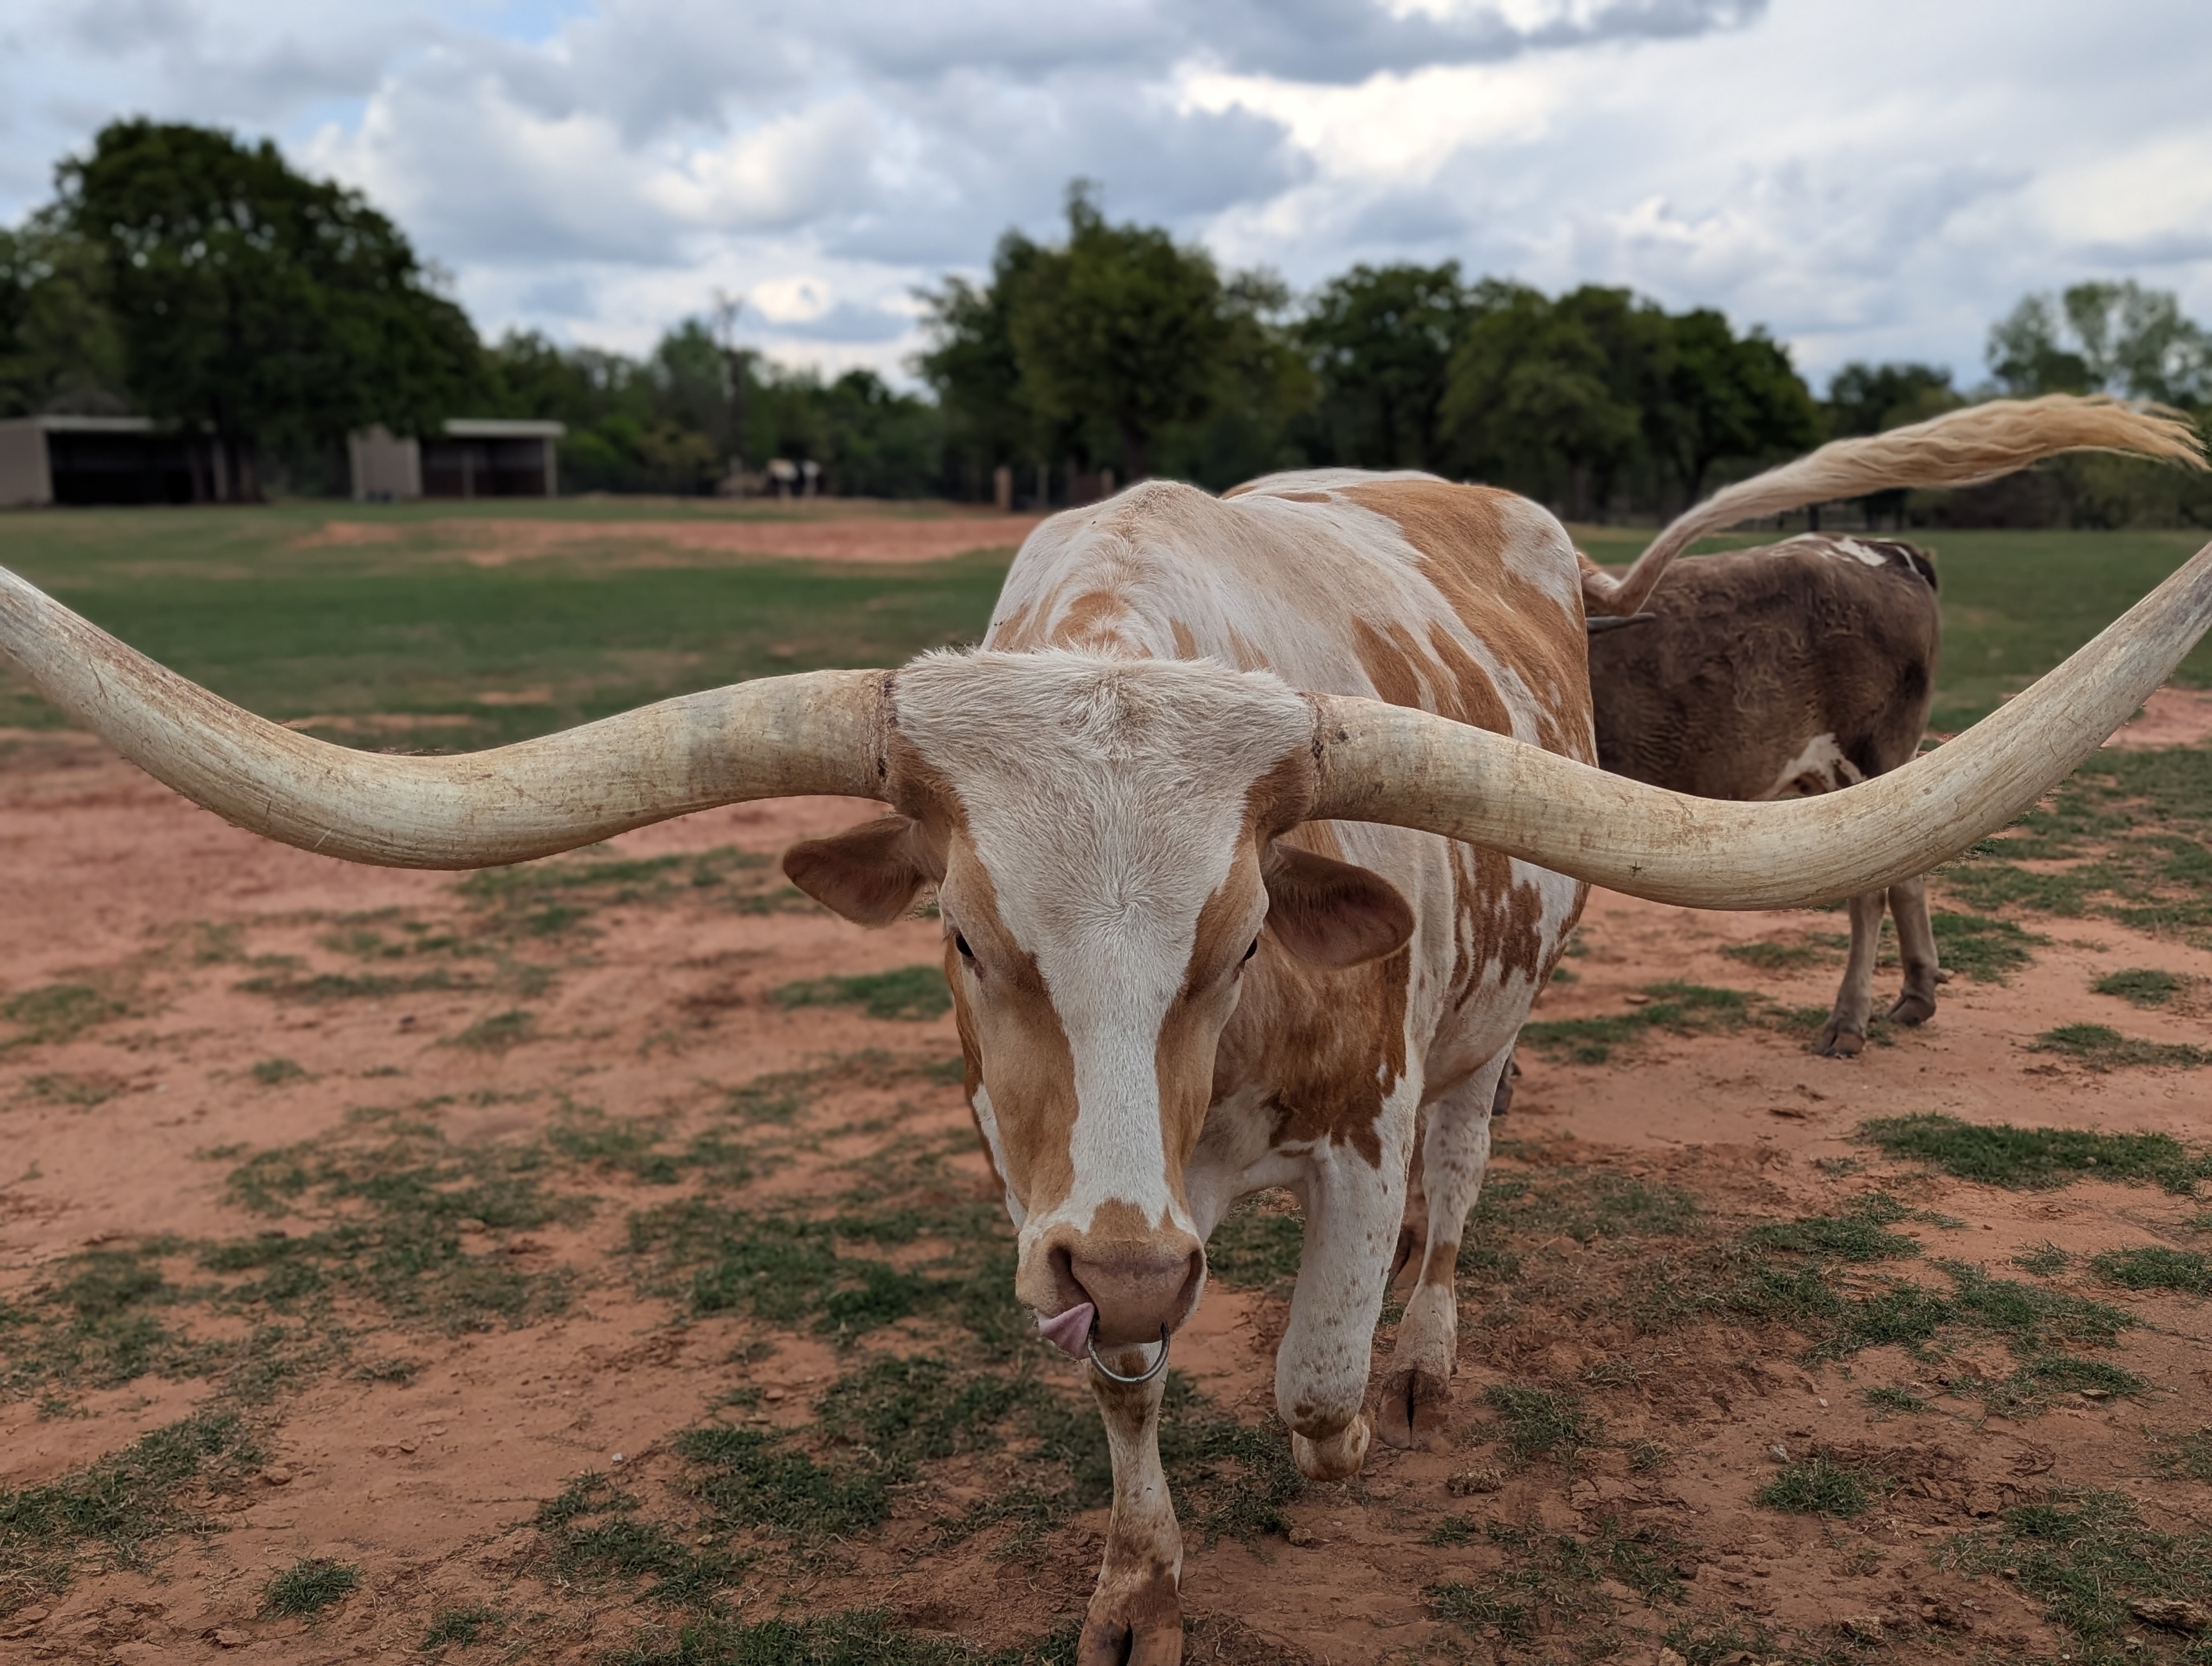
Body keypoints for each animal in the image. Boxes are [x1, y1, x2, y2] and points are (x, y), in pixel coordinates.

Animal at [3, 396, 2207, 1666]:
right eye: (969, 938)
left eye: (1239, 935)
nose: (1139, 1261)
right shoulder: (1043, 1186)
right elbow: (1128, 1387)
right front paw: (1137, 1587)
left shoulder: (1353, 1118)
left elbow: (1302, 1368)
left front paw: (1338, 1428)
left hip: (1496, 1022)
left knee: (1457, 1191)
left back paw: (1425, 1356)